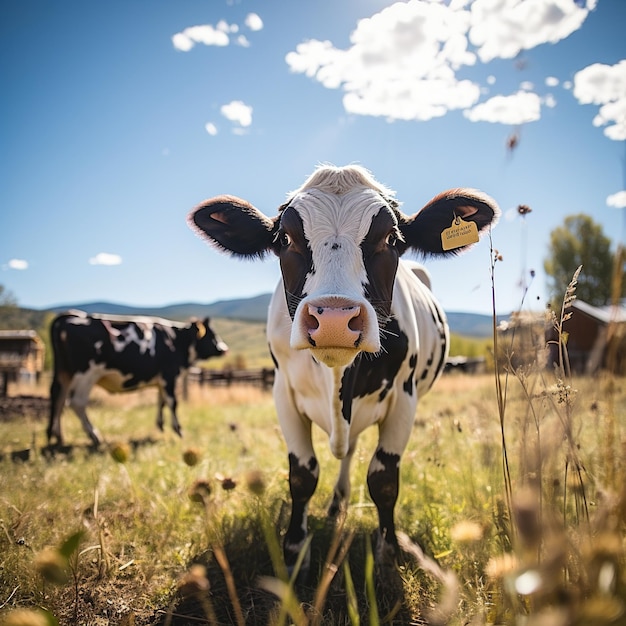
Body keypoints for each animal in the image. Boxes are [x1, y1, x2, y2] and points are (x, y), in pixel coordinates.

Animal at [47, 308, 227, 444]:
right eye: (211, 334)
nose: (224, 348)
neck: (177, 340)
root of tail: (69, 316)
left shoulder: (161, 380)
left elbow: (161, 401)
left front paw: (160, 425)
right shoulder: (169, 375)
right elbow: (172, 402)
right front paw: (178, 430)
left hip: (65, 372)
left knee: (58, 398)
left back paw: (57, 437)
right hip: (87, 373)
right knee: (76, 402)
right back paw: (94, 435)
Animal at [185, 165, 498, 572]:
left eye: (391, 239)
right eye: (284, 238)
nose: (334, 319)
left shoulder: (405, 398)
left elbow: (384, 478)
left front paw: (388, 550)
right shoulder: (283, 393)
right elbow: (302, 475)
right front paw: (294, 550)